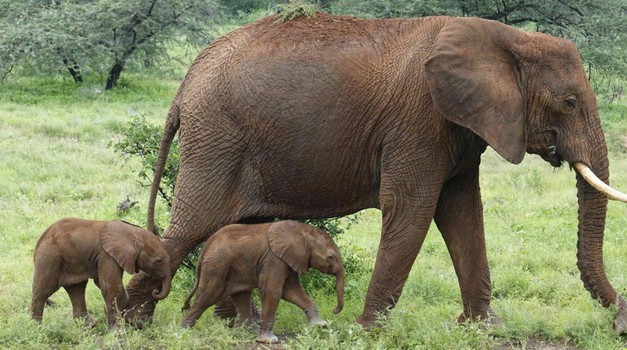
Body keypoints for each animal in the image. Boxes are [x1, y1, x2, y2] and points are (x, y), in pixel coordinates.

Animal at [29, 219, 172, 328]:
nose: (155, 291)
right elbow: (111, 287)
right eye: (158, 260)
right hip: (49, 258)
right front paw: (116, 329)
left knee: (77, 289)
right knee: (43, 291)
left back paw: (89, 325)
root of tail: (39, 242)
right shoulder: (106, 255)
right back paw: (36, 328)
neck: (132, 232)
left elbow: (102, 283)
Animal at [182, 220, 348, 344]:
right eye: (330, 257)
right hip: (216, 266)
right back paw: (184, 330)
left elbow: (292, 291)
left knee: (241, 296)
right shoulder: (274, 259)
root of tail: (205, 247)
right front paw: (269, 341)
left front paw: (321, 325)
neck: (303, 230)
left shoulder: (287, 259)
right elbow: (273, 291)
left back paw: (250, 332)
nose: (334, 310)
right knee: (208, 296)